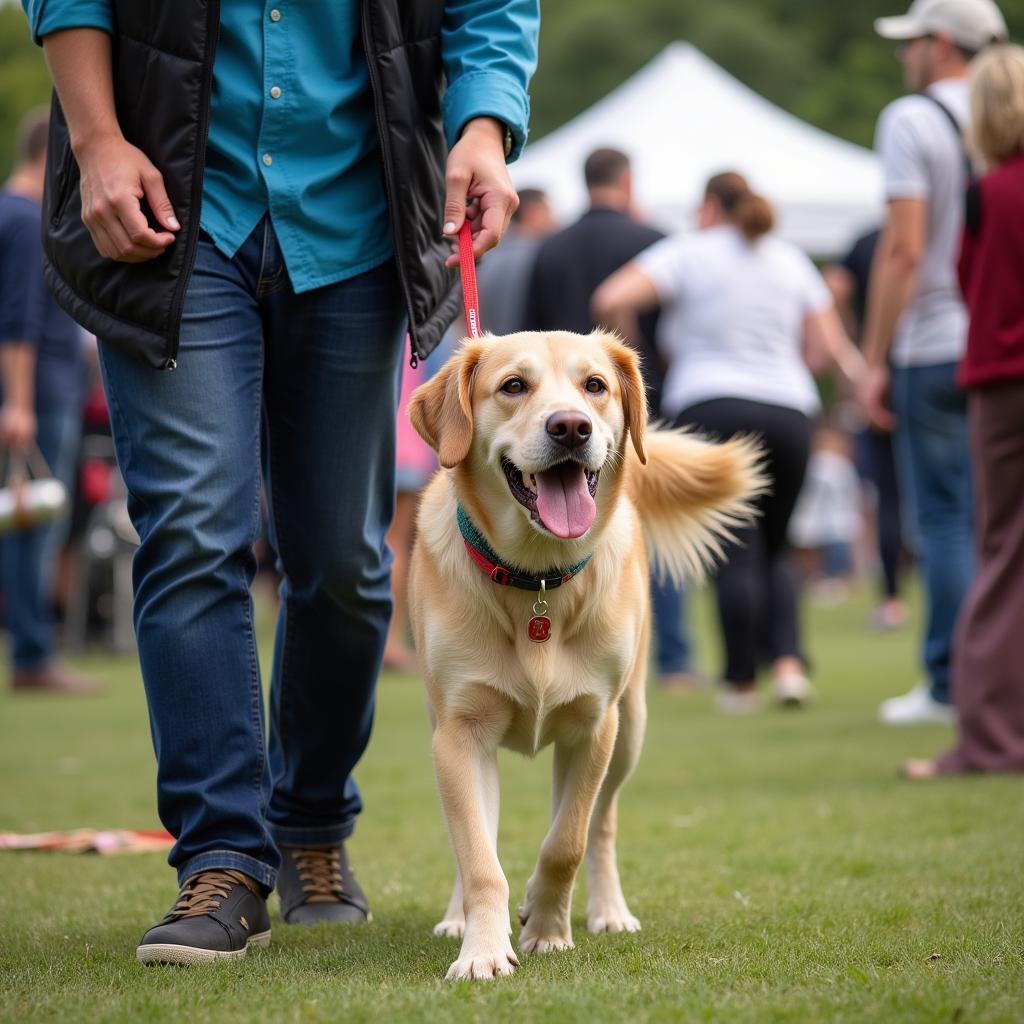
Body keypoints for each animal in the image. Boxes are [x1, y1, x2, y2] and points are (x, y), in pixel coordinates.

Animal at [403, 331, 765, 978]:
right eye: (513, 385)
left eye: (594, 385)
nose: (571, 426)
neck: (538, 580)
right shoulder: (459, 731)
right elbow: (478, 855)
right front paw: (484, 950)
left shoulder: (594, 724)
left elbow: (565, 842)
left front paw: (547, 929)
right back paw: (459, 917)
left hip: (631, 729)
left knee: (601, 826)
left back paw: (606, 911)